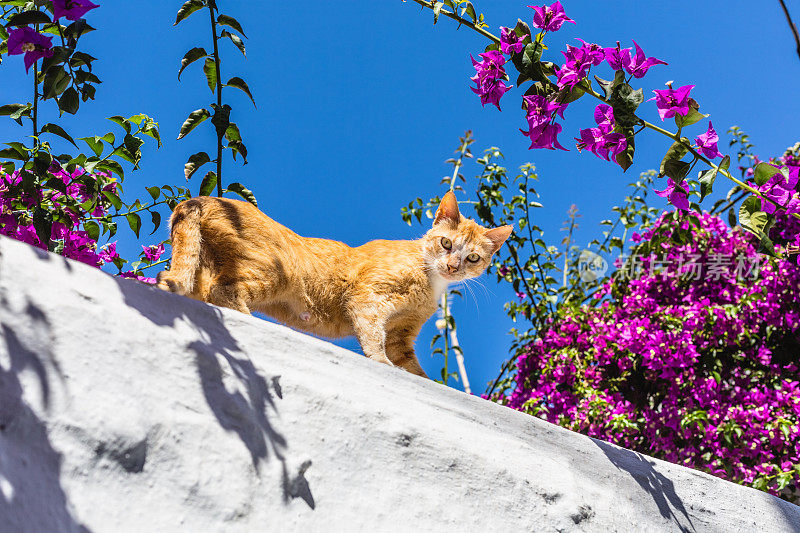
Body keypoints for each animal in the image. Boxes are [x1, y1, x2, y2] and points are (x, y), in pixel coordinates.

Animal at [156, 191, 512, 378]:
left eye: (473, 258)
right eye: (446, 244)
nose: (452, 266)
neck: (430, 282)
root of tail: (201, 198)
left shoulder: (402, 334)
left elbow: (412, 367)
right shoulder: (369, 300)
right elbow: (373, 338)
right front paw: (380, 362)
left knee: (192, 287)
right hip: (275, 271)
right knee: (223, 291)